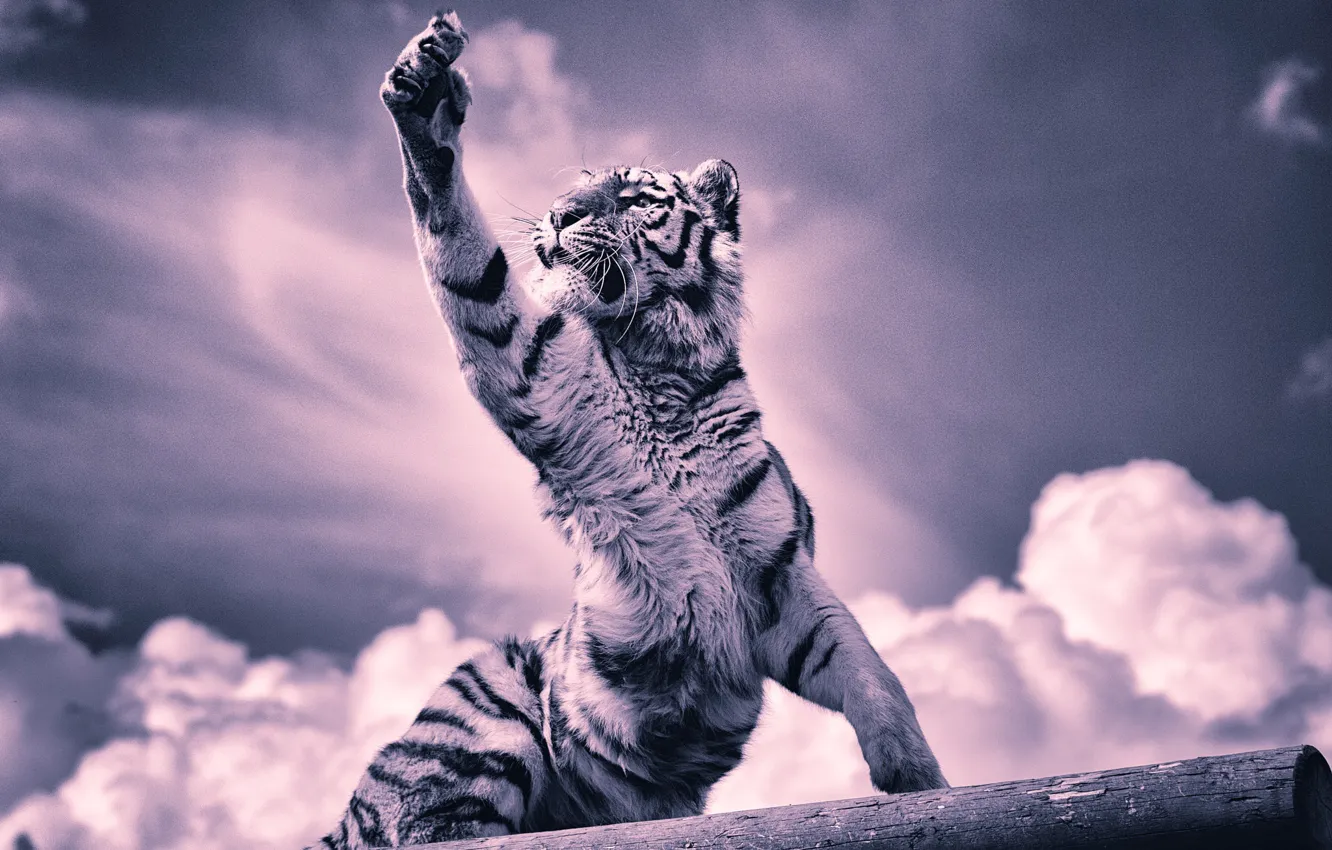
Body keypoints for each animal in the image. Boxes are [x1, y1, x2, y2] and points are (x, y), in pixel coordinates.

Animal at [308, 11, 947, 847]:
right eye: (573, 187)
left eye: (638, 196)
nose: (560, 214)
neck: (656, 367)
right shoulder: (526, 361)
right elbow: (462, 249)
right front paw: (427, 98)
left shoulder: (780, 570)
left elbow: (870, 667)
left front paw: (920, 782)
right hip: (484, 710)